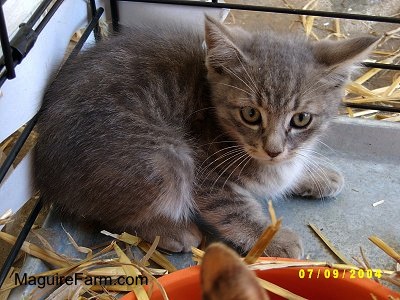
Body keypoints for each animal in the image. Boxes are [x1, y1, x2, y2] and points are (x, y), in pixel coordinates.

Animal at [33, 15, 376, 256]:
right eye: (251, 114)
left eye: (301, 119)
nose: (273, 150)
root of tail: (46, 175)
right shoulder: (205, 172)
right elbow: (233, 209)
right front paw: (271, 237)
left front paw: (316, 175)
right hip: (164, 157)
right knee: (109, 214)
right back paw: (173, 231)